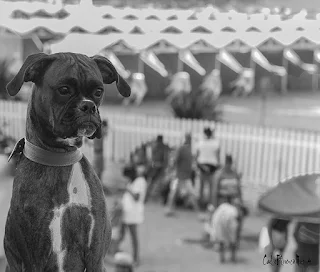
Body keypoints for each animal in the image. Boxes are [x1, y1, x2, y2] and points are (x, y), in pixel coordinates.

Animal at [4, 52, 131, 270]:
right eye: (64, 90)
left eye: (98, 91)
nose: (88, 105)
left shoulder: (96, 256)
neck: (60, 158)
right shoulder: (34, 258)